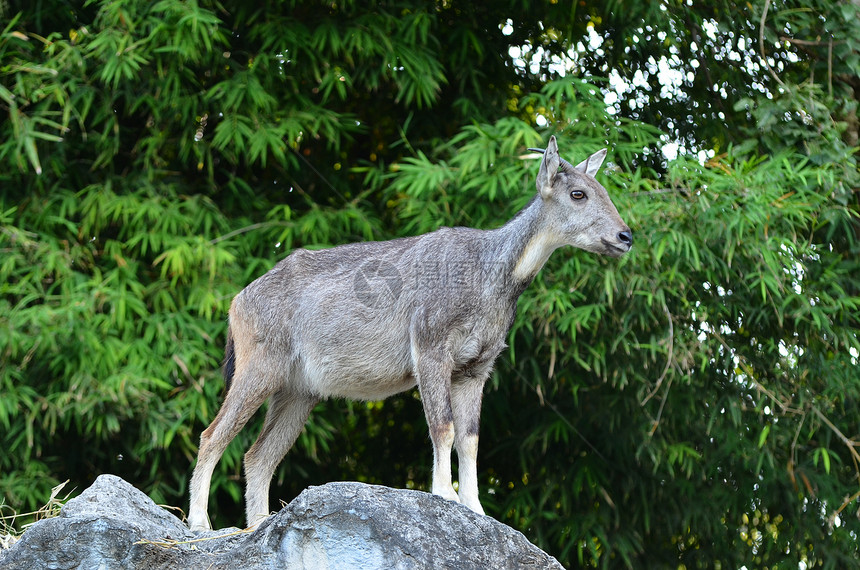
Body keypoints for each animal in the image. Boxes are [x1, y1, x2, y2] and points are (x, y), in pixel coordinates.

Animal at [188, 136, 632, 528]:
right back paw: (200, 524)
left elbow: (470, 438)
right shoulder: (431, 348)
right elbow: (443, 426)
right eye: (578, 193)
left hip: (298, 391)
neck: (487, 274)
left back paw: (258, 525)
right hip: (259, 367)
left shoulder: (476, 368)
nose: (625, 236)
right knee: (211, 436)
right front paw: (445, 494)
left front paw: (477, 509)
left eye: (603, 190)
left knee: (257, 457)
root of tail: (237, 303)